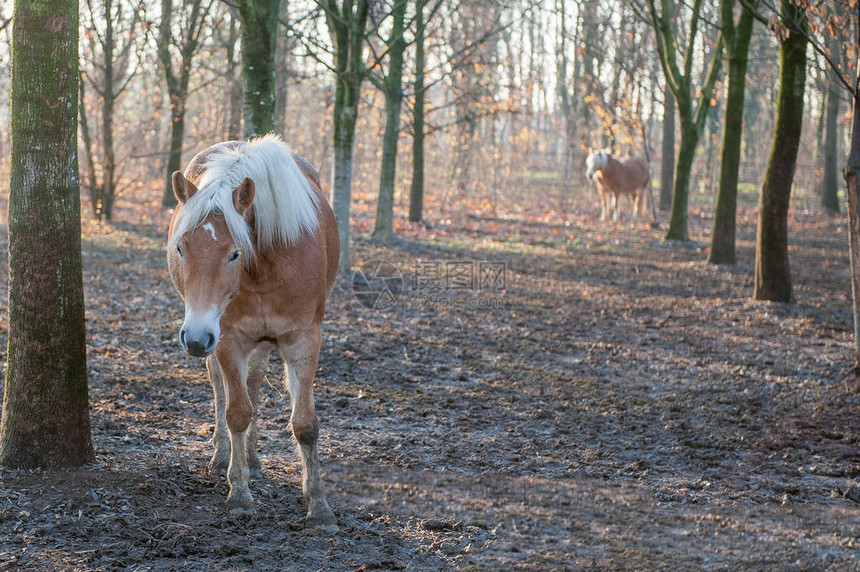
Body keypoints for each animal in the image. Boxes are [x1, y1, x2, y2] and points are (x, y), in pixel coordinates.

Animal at [165, 134, 340, 528]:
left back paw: (254, 457)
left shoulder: (304, 340)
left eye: (234, 253)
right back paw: (223, 456)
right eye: (181, 248)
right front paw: (240, 496)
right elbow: (236, 412)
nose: (194, 337)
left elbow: (305, 424)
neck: (266, 264)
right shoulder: (227, 338)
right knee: (221, 388)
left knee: (255, 380)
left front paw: (319, 505)